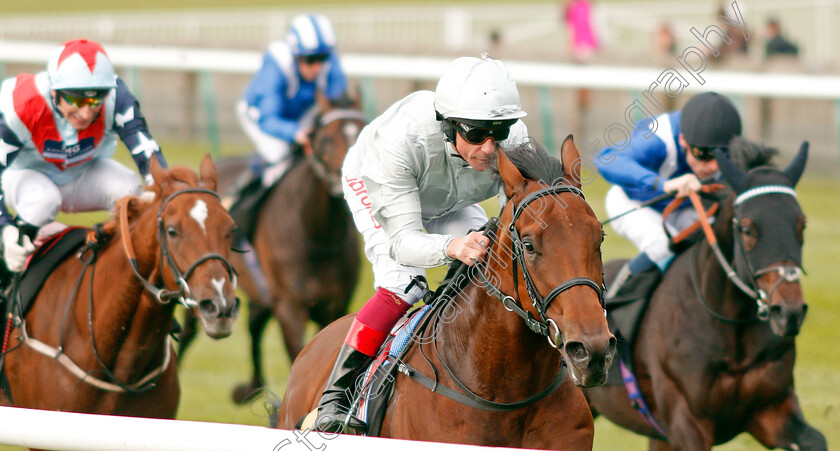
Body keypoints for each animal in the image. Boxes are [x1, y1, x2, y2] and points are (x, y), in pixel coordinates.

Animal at [180, 92, 364, 402]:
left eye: (364, 130)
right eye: (327, 138)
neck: (319, 236)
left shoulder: (335, 307)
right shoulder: (290, 307)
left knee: (254, 325)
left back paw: (251, 387)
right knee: (188, 331)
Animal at [584, 143, 828, 450]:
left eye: (801, 225)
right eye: (747, 228)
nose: (789, 313)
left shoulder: (771, 410)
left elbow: (815, 439)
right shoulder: (687, 422)